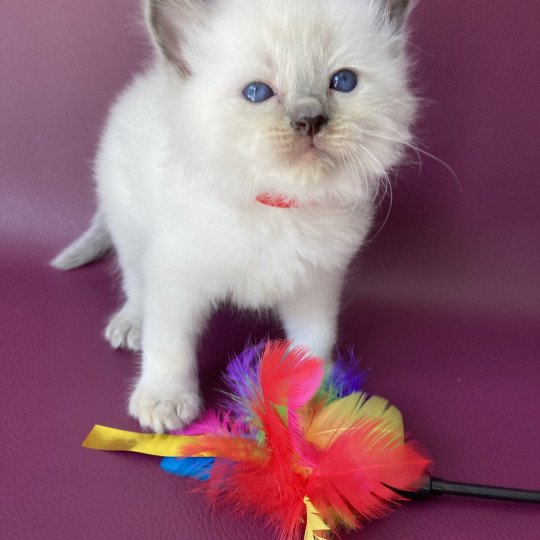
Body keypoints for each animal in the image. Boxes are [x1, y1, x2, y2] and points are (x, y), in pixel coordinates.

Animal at [51, 0, 414, 432]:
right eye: (257, 93)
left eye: (343, 82)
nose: (310, 120)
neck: (276, 207)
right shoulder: (175, 277)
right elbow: (169, 344)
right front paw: (164, 400)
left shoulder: (317, 282)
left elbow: (313, 340)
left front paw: (312, 398)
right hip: (129, 228)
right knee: (135, 284)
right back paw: (130, 324)